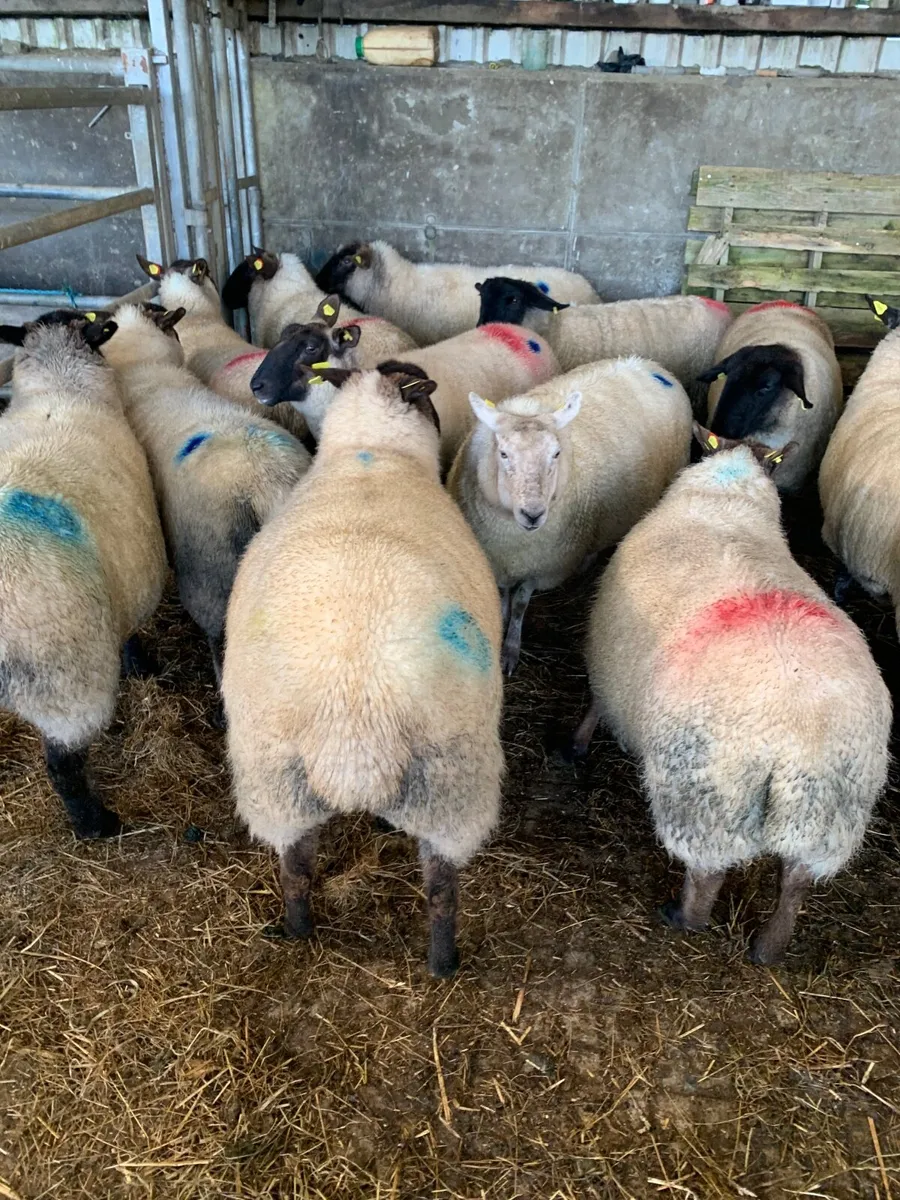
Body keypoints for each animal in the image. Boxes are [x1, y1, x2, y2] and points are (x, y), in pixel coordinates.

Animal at [0, 310, 167, 837]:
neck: (60, 387)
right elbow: (131, 631)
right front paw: (142, 664)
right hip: (66, 681)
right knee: (64, 764)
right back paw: (97, 823)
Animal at [222, 363, 503, 977]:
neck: (371, 453)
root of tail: (352, 730)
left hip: (277, 783)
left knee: (294, 871)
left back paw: (297, 931)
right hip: (454, 786)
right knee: (442, 892)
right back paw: (443, 963)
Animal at [447, 357, 693, 674]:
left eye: (556, 453)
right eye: (503, 454)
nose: (533, 514)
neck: (515, 543)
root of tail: (650, 365)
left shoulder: (545, 565)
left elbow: (520, 604)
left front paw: (511, 647)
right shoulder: (496, 559)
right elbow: (502, 596)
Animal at [574, 423, 891, 964]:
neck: (727, 500)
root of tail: (794, 738)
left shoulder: (608, 658)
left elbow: (596, 702)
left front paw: (576, 743)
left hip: (707, 795)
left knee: (708, 873)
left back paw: (682, 917)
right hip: (829, 810)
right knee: (796, 880)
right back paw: (768, 948)